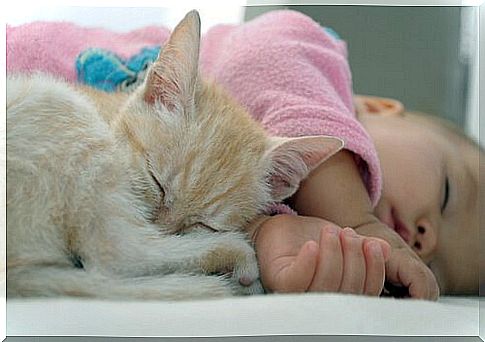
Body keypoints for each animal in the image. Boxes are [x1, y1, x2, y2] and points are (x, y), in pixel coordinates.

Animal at [5, 10, 342, 300]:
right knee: (118, 254)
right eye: (156, 182)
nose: (162, 231)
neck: (110, 115)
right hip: (55, 103)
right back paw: (236, 255)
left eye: (204, 224)